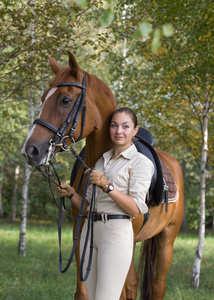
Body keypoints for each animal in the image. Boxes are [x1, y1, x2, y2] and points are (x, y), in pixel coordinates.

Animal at [22, 51, 185, 300]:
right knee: (133, 283)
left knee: (157, 285)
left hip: (166, 239)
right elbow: (83, 291)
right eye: (42, 99)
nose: (30, 150)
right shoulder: (80, 233)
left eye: (65, 100)